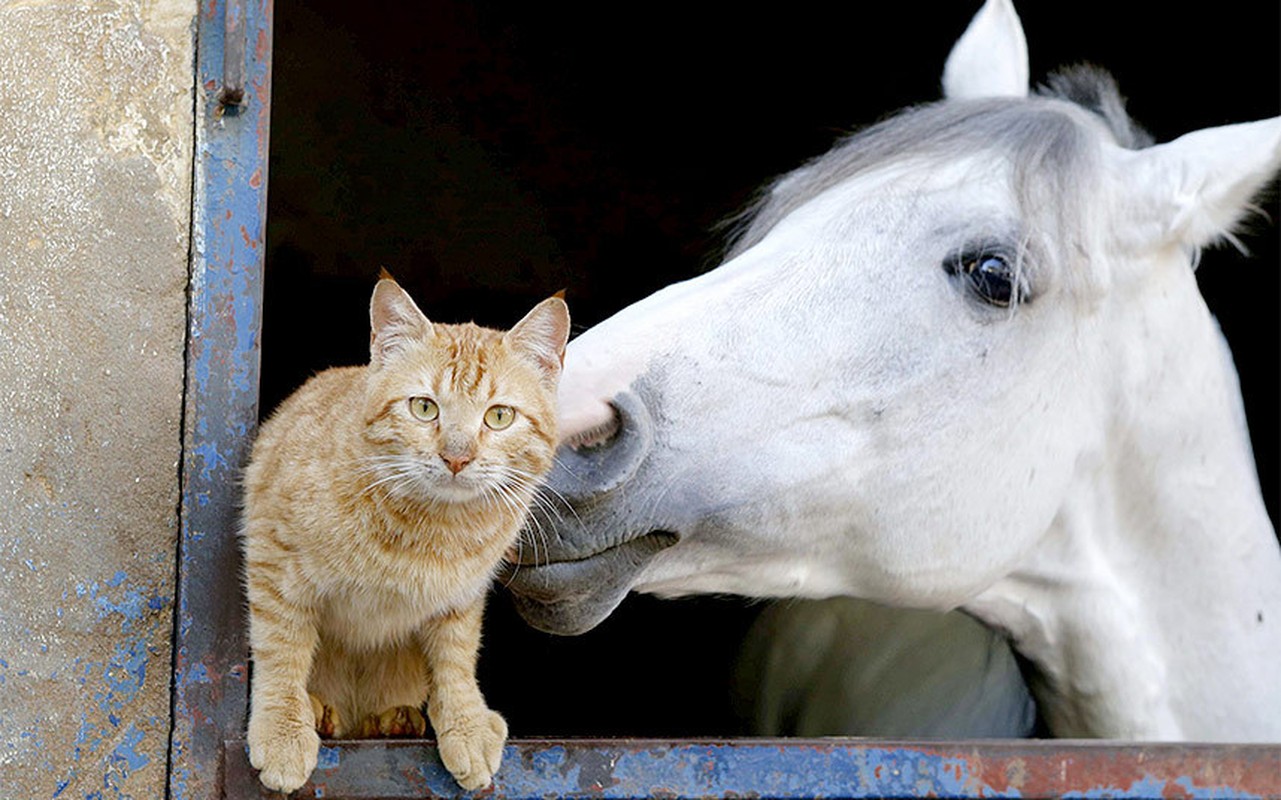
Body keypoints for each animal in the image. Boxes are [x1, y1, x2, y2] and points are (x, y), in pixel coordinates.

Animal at [240, 273, 571, 793]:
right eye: (424, 408)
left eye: (499, 416)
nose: (457, 456)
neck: (435, 525)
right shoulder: (273, 557)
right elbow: (281, 646)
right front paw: (282, 727)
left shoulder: (463, 595)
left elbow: (456, 656)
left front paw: (465, 721)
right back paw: (320, 712)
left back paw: (394, 719)